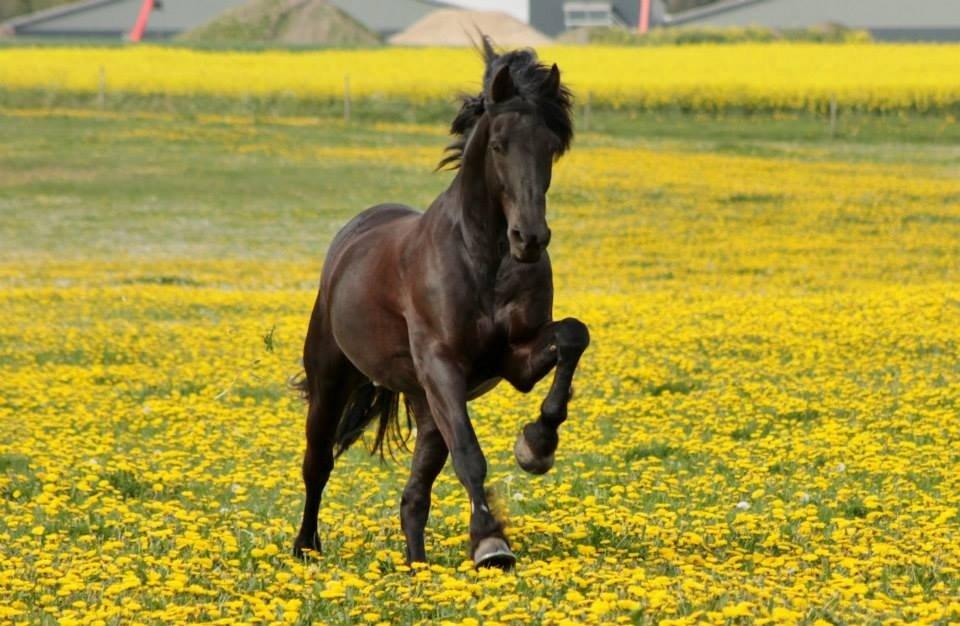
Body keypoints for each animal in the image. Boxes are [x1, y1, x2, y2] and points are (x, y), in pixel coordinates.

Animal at [292, 36, 588, 568]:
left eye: (552, 148)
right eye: (498, 145)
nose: (530, 239)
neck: (483, 258)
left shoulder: (513, 360)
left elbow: (574, 334)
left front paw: (537, 445)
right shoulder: (443, 364)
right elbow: (470, 453)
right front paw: (491, 542)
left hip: (425, 403)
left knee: (414, 496)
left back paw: (417, 568)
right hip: (333, 380)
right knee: (318, 463)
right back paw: (306, 547)